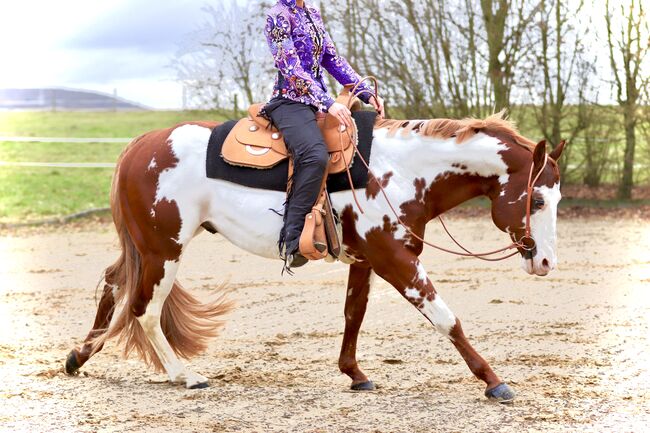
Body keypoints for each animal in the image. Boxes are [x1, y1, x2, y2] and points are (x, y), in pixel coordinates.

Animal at [63, 111, 564, 402]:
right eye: (537, 199)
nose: (545, 263)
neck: (398, 171)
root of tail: (139, 145)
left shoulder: (368, 259)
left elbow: (353, 314)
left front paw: (355, 373)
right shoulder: (394, 260)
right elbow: (447, 318)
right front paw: (493, 380)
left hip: (145, 249)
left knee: (114, 283)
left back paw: (78, 357)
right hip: (164, 250)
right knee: (144, 310)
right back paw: (185, 375)